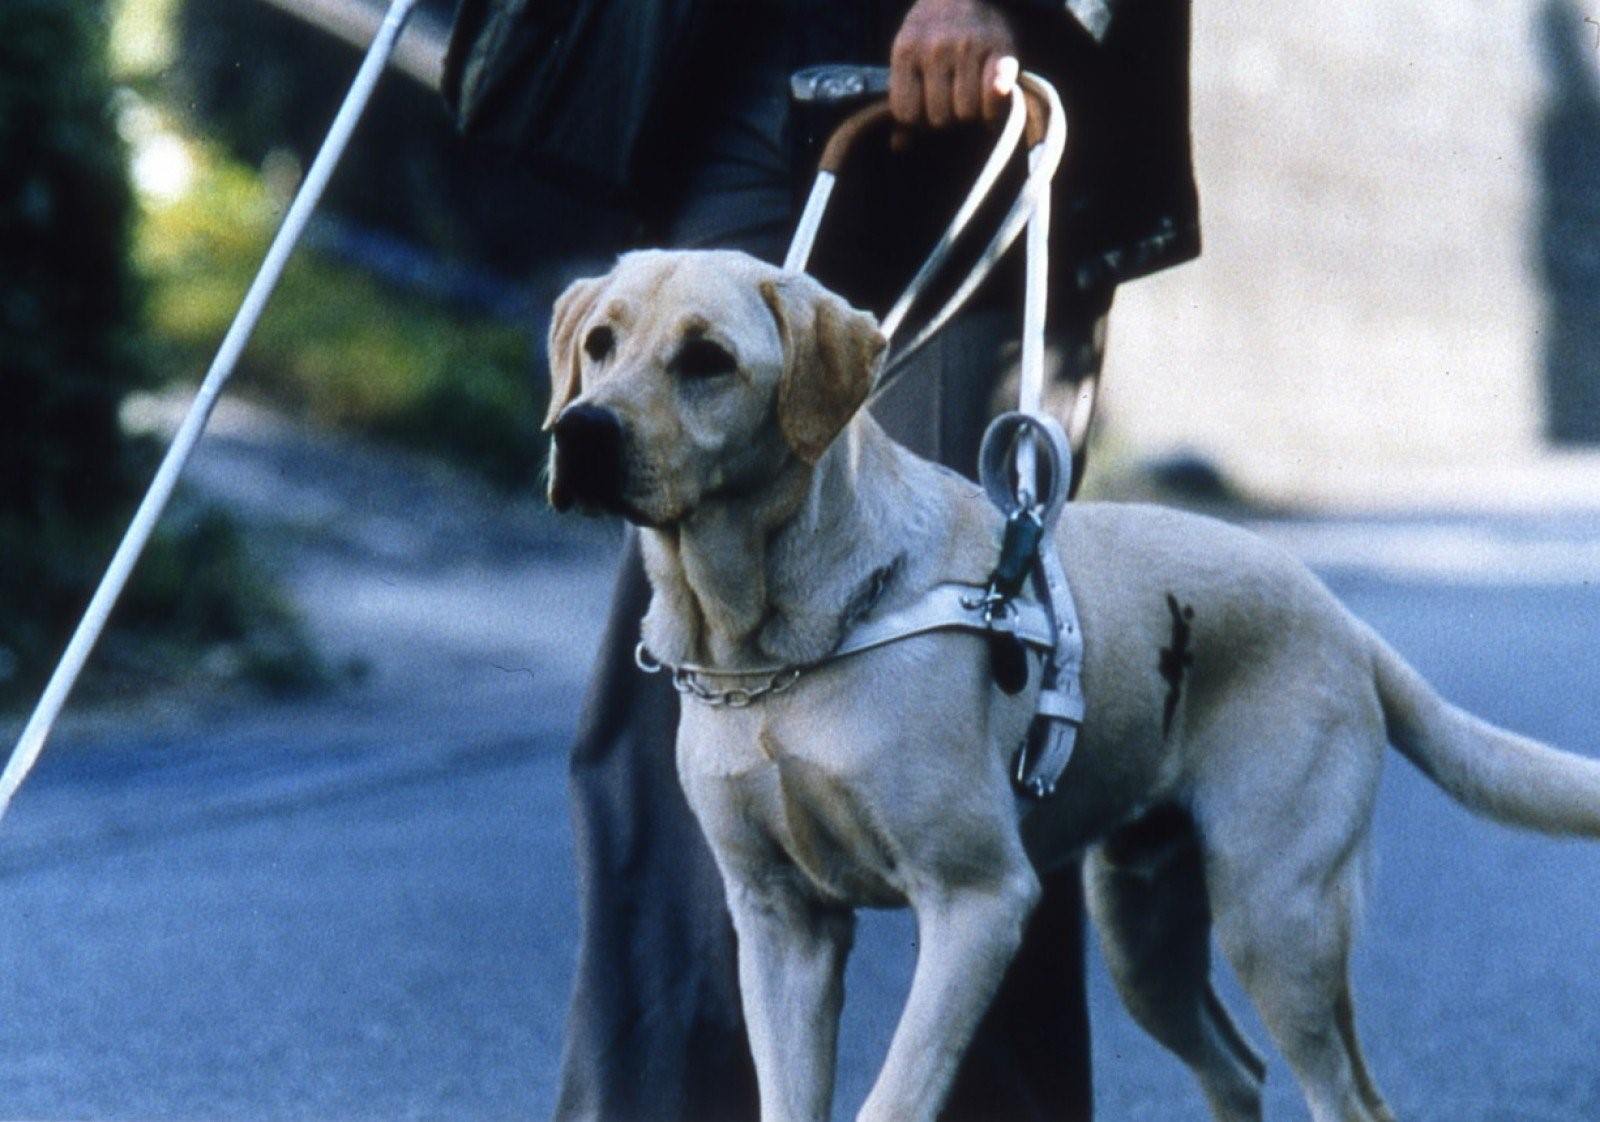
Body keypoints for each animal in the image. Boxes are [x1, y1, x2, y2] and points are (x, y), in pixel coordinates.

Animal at [544, 251, 1593, 1120]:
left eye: (708, 359)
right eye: (600, 343)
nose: (578, 433)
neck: (772, 651)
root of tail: (1346, 622)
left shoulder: (977, 902)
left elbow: (895, 1094)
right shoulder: (780, 924)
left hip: (1279, 920)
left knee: (1350, 1100)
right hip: (1143, 932)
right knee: (1236, 1070)